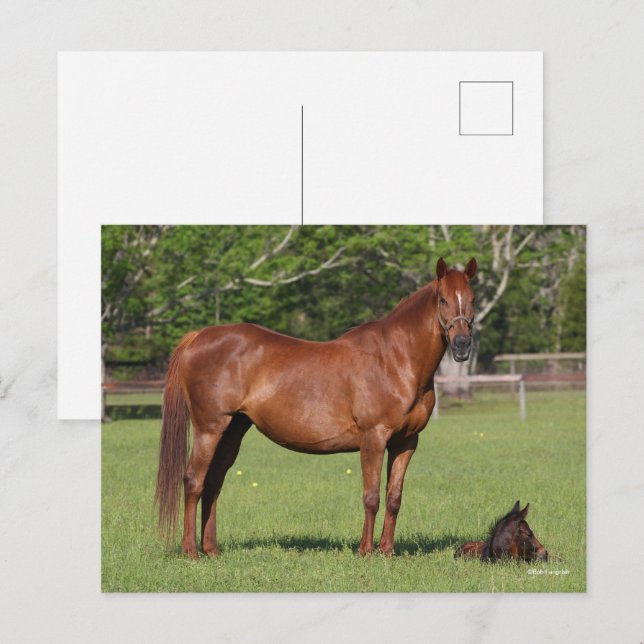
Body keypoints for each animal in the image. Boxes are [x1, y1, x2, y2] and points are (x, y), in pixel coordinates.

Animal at [155, 257, 478, 558]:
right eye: (443, 299)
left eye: (472, 299)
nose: (462, 345)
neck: (395, 360)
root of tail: (198, 337)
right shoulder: (373, 438)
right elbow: (371, 496)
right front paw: (366, 551)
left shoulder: (406, 442)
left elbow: (394, 497)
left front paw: (386, 551)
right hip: (209, 429)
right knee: (194, 481)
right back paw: (190, 551)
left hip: (233, 429)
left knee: (213, 483)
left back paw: (211, 549)